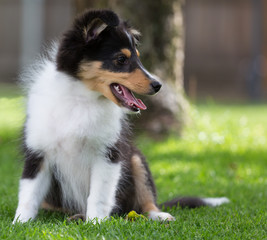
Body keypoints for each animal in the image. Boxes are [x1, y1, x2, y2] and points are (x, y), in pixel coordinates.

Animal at [13, 9, 230, 223]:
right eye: (121, 59)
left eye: (138, 57)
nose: (158, 85)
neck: (82, 98)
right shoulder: (38, 154)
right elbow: (28, 194)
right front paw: (20, 223)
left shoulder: (109, 153)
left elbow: (99, 195)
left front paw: (95, 223)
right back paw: (76, 216)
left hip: (136, 159)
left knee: (146, 203)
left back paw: (159, 215)